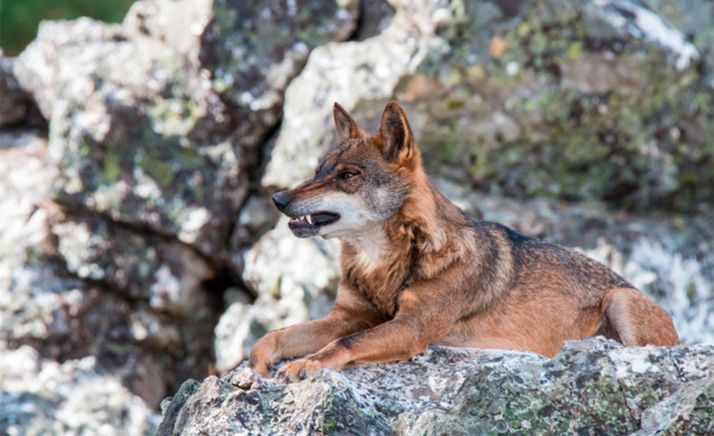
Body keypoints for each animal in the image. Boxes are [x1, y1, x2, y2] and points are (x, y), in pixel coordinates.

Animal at [249, 101, 679, 381]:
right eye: (317, 171)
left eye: (348, 176)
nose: (278, 199)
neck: (385, 264)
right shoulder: (345, 317)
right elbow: (276, 335)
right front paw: (255, 365)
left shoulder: (411, 328)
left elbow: (344, 345)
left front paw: (307, 364)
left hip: (621, 299)